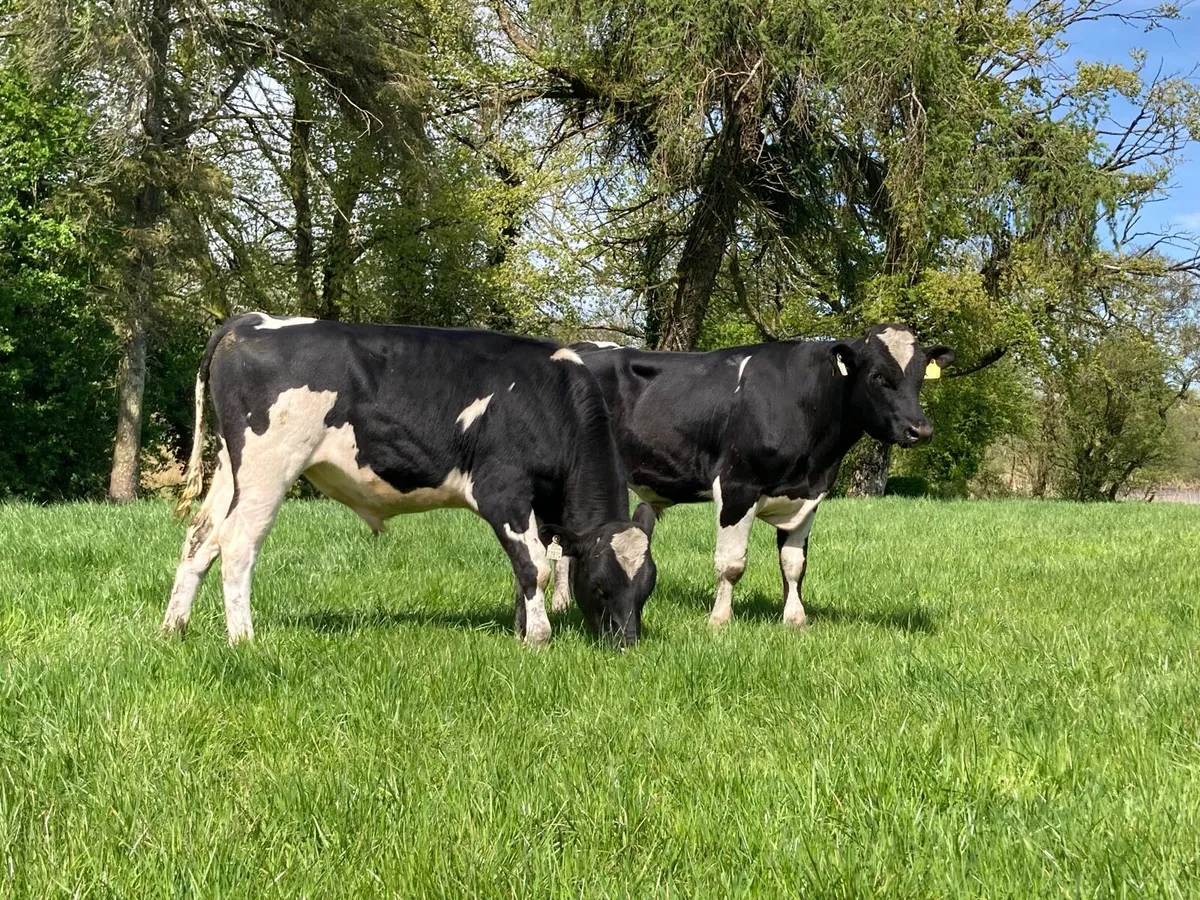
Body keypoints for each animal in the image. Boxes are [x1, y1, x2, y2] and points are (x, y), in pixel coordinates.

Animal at [162, 313, 657, 647]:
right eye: (599, 586)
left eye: (646, 588)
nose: (626, 643)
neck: (552, 399)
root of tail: (252, 320)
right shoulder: (503, 490)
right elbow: (533, 562)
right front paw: (537, 637)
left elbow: (526, 566)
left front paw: (521, 628)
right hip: (268, 465)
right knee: (238, 542)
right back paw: (243, 638)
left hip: (231, 466)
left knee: (200, 538)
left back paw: (174, 628)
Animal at [548, 324, 954, 628]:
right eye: (876, 375)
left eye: (920, 376)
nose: (920, 429)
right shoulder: (736, 486)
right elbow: (731, 564)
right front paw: (719, 621)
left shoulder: (810, 495)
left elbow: (794, 564)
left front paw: (795, 620)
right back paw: (559, 604)